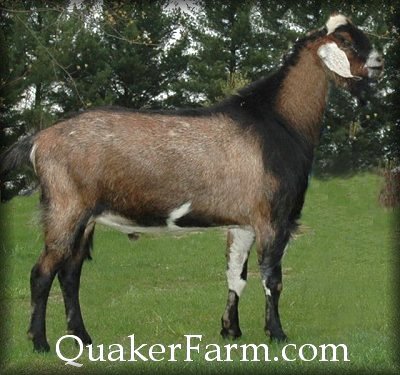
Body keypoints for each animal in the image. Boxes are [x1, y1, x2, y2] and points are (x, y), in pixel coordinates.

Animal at [0, 12, 382, 352]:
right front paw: (277, 335)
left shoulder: (243, 222)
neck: (276, 122)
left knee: (70, 273)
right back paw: (40, 343)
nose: (379, 62)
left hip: (86, 218)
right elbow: (272, 278)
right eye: (347, 41)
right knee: (42, 273)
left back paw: (82, 338)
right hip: (66, 209)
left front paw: (231, 331)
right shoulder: (273, 218)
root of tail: (38, 141)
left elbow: (236, 275)